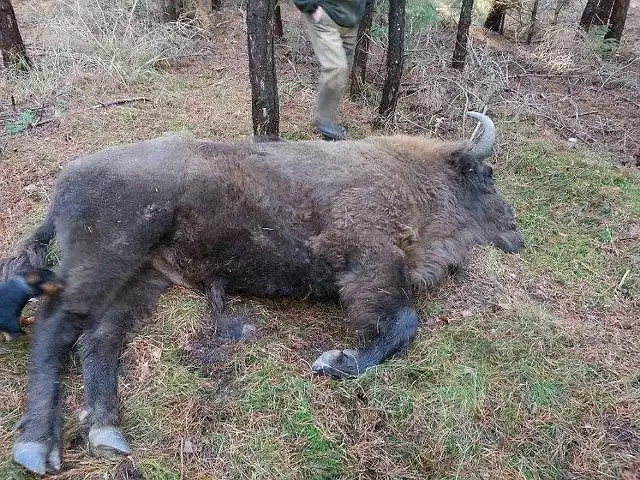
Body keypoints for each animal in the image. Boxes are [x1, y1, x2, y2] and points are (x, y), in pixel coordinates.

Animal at [0, 111, 524, 472]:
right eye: (488, 177)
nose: (517, 233)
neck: (408, 176)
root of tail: (64, 183)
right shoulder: (368, 259)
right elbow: (403, 323)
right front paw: (334, 362)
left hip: (143, 277)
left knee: (99, 339)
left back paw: (107, 432)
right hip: (105, 256)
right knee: (55, 325)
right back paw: (36, 447)